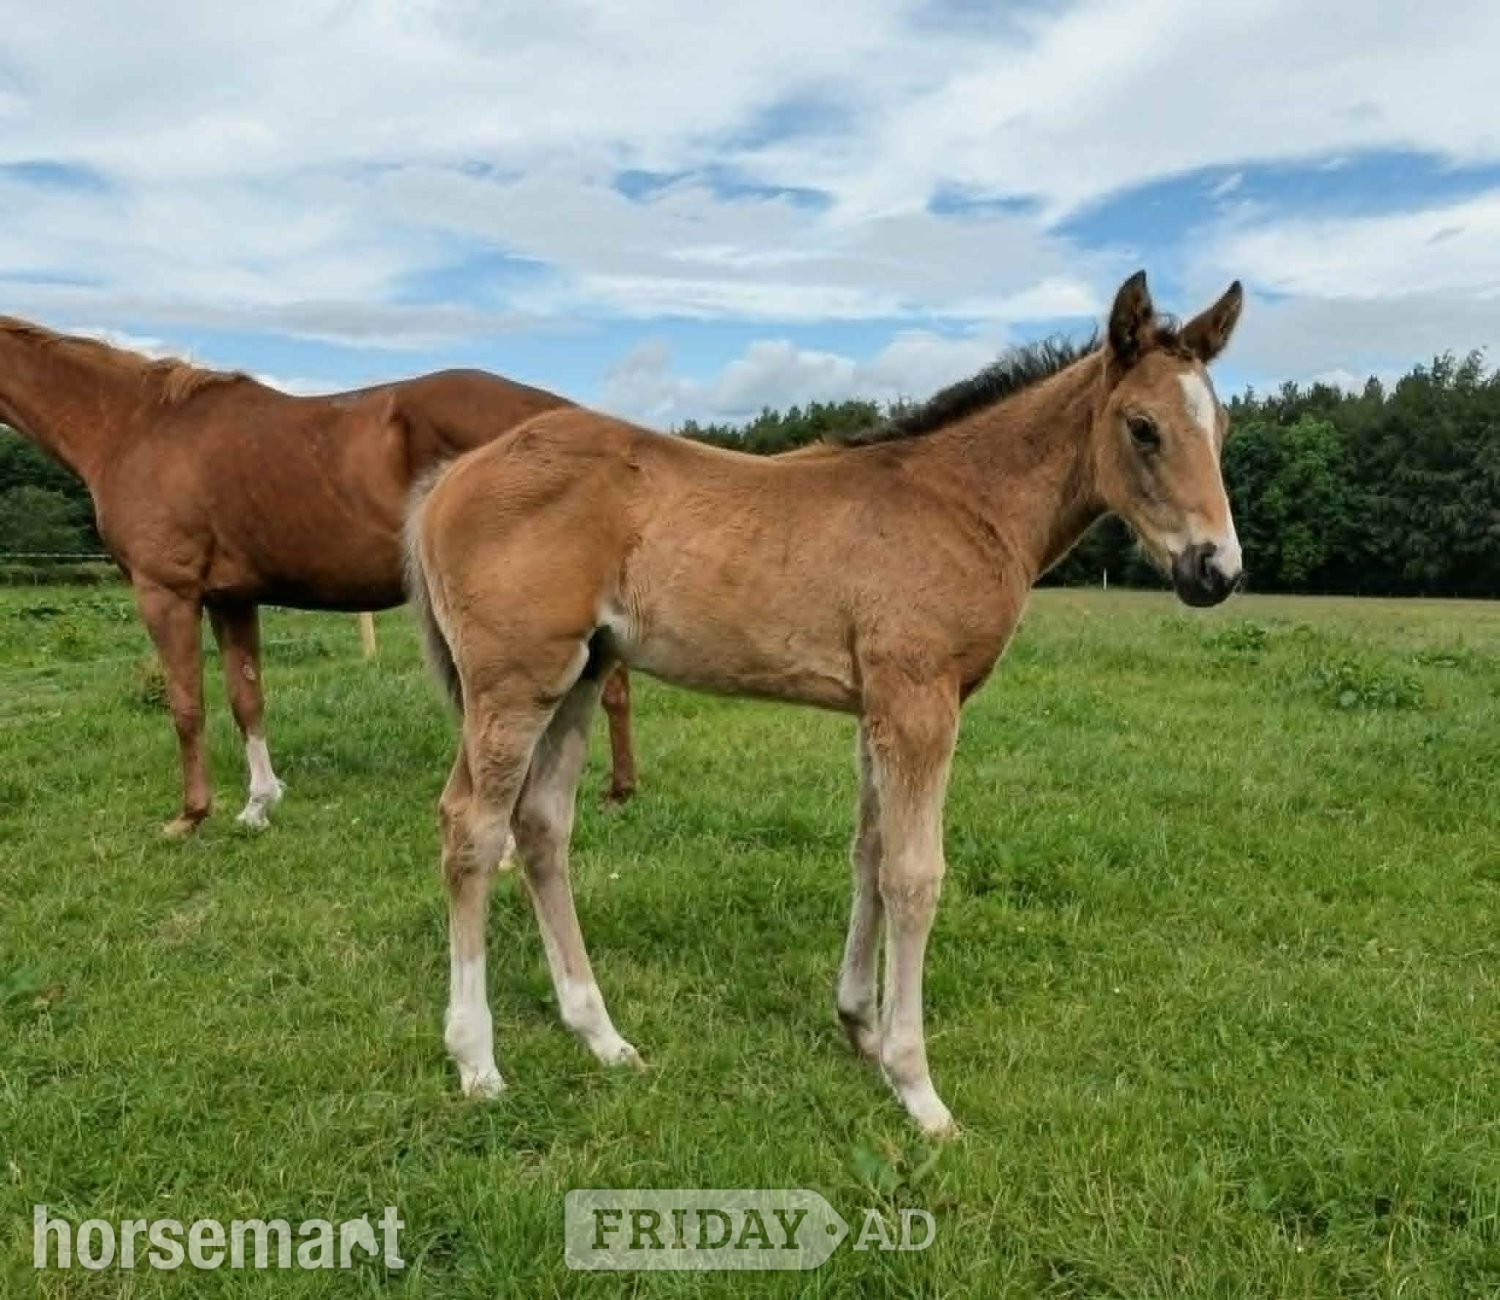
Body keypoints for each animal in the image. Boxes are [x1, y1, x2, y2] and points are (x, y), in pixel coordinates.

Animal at [0, 318, 638, 834]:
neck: (135, 427)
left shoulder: (166, 592)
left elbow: (186, 704)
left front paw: (191, 815)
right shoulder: (231, 598)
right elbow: (246, 698)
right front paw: (258, 805)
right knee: (612, 689)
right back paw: (617, 792)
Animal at [404, 270, 1246, 1136]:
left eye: (1222, 425)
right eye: (1143, 427)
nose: (1217, 570)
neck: (964, 502)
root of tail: (448, 480)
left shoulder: (878, 708)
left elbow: (869, 855)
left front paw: (861, 1028)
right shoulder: (920, 701)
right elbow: (914, 875)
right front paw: (918, 1088)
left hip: (577, 677)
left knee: (542, 829)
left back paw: (601, 1036)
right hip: (513, 682)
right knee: (472, 828)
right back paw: (477, 1061)